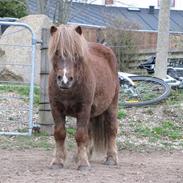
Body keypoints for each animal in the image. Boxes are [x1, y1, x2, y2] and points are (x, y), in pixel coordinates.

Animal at [47, 24, 118, 170]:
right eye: (56, 52)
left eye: (75, 54)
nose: (64, 80)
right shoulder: (55, 108)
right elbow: (60, 134)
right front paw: (58, 161)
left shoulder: (84, 108)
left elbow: (80, 135)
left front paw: (83, 164)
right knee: (89, 132)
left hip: (111, 106)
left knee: (111, 129)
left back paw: (111, 158)